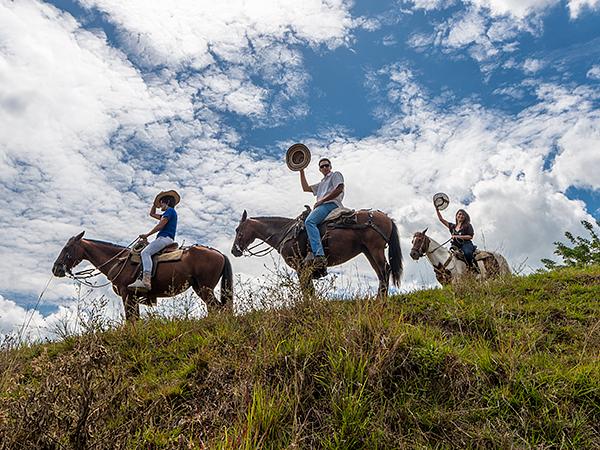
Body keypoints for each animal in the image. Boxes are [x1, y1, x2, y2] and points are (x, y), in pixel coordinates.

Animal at [51, 232, 232, 320]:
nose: (56, 268)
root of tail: (219, 253)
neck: (118, 260)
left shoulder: (126, 294)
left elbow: (130, 319)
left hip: (205, 288)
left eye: (67, 248)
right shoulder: (133, 297)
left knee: (218, 308)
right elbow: (135, 319)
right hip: (200, 288)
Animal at [230, 209, 404, 298]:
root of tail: (386, 217)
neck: (285, 233)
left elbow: (306, 289)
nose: (234, 251)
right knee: (380, 273)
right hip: (368, 251)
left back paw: (381, 300)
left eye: (238, 230)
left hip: (375, 249)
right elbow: (309, 289)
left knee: (385, 270)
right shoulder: (305, 269)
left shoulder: (300, 267)